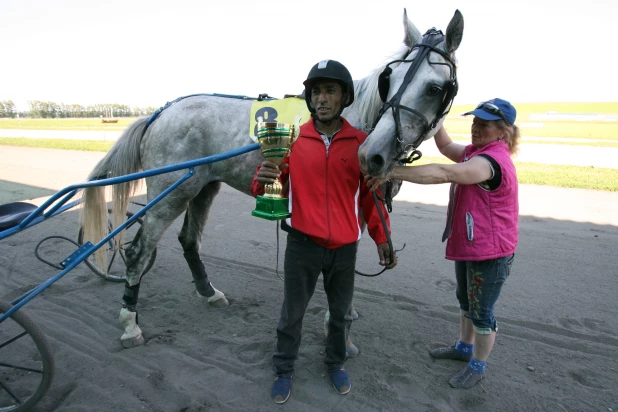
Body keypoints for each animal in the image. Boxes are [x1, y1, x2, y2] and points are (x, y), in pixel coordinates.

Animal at [79, 8, 460, 348]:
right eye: (389, 80)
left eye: (435, 87)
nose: (373, 155)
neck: (348, 122)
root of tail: (160, 113)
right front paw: (337, 325)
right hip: (172, 193)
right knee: (139, 251)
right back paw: (130, 322)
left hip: (203, 187)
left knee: (188, 240)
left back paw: (208, 292)